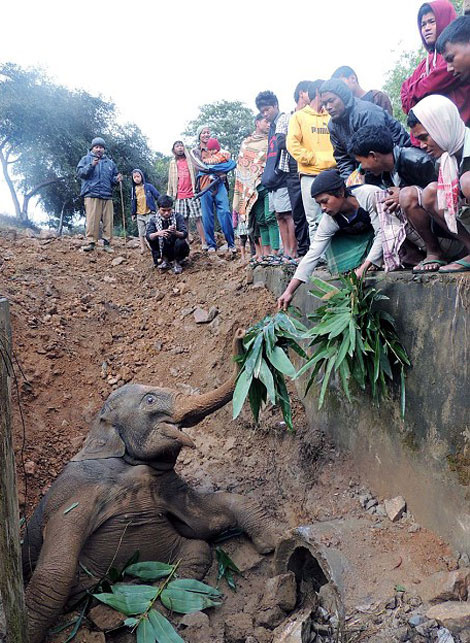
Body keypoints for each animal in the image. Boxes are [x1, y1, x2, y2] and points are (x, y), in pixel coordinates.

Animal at [23, 332, 276, 643]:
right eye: (150, 399)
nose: (243, 334)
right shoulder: (79, 491)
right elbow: (55, 573)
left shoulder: (165, 483)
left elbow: (206, 521)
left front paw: (274, 542)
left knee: (197, 549)